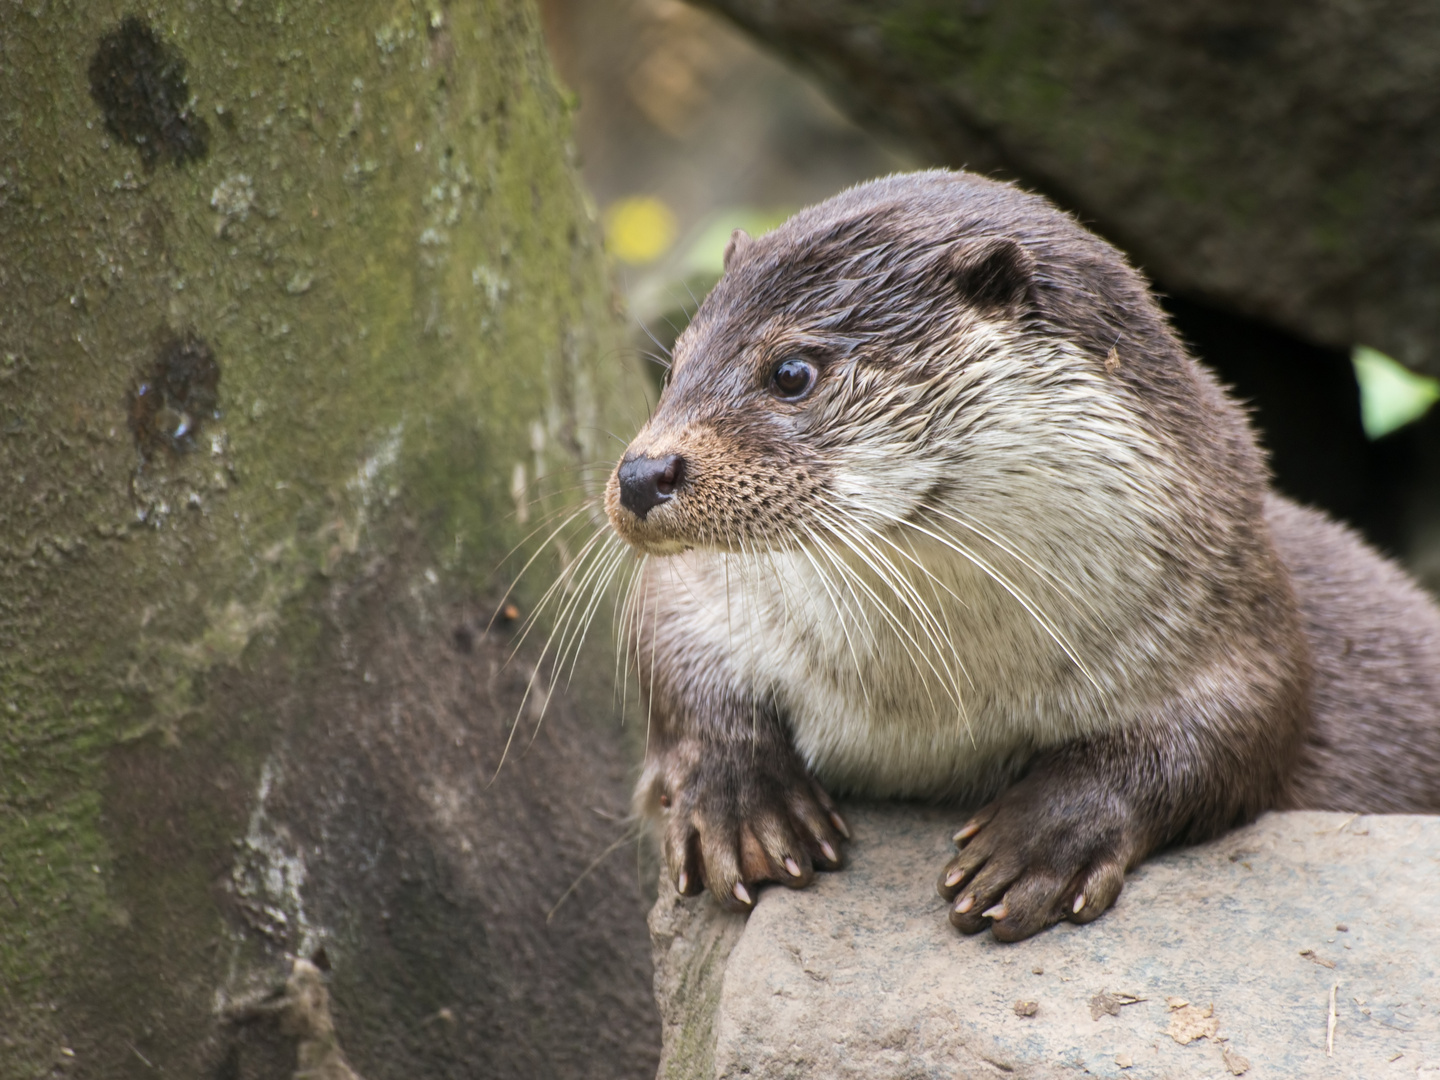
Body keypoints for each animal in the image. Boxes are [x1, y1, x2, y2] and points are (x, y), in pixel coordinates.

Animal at [601, 169, 1440, 938]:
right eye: (675, 366)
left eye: (792, 372)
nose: (642, 474)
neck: (924, 712)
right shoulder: (696, 589)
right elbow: (669, 652)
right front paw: (741, 800)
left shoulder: (1233, 603)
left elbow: (1239, 728)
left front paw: (1044, 841)